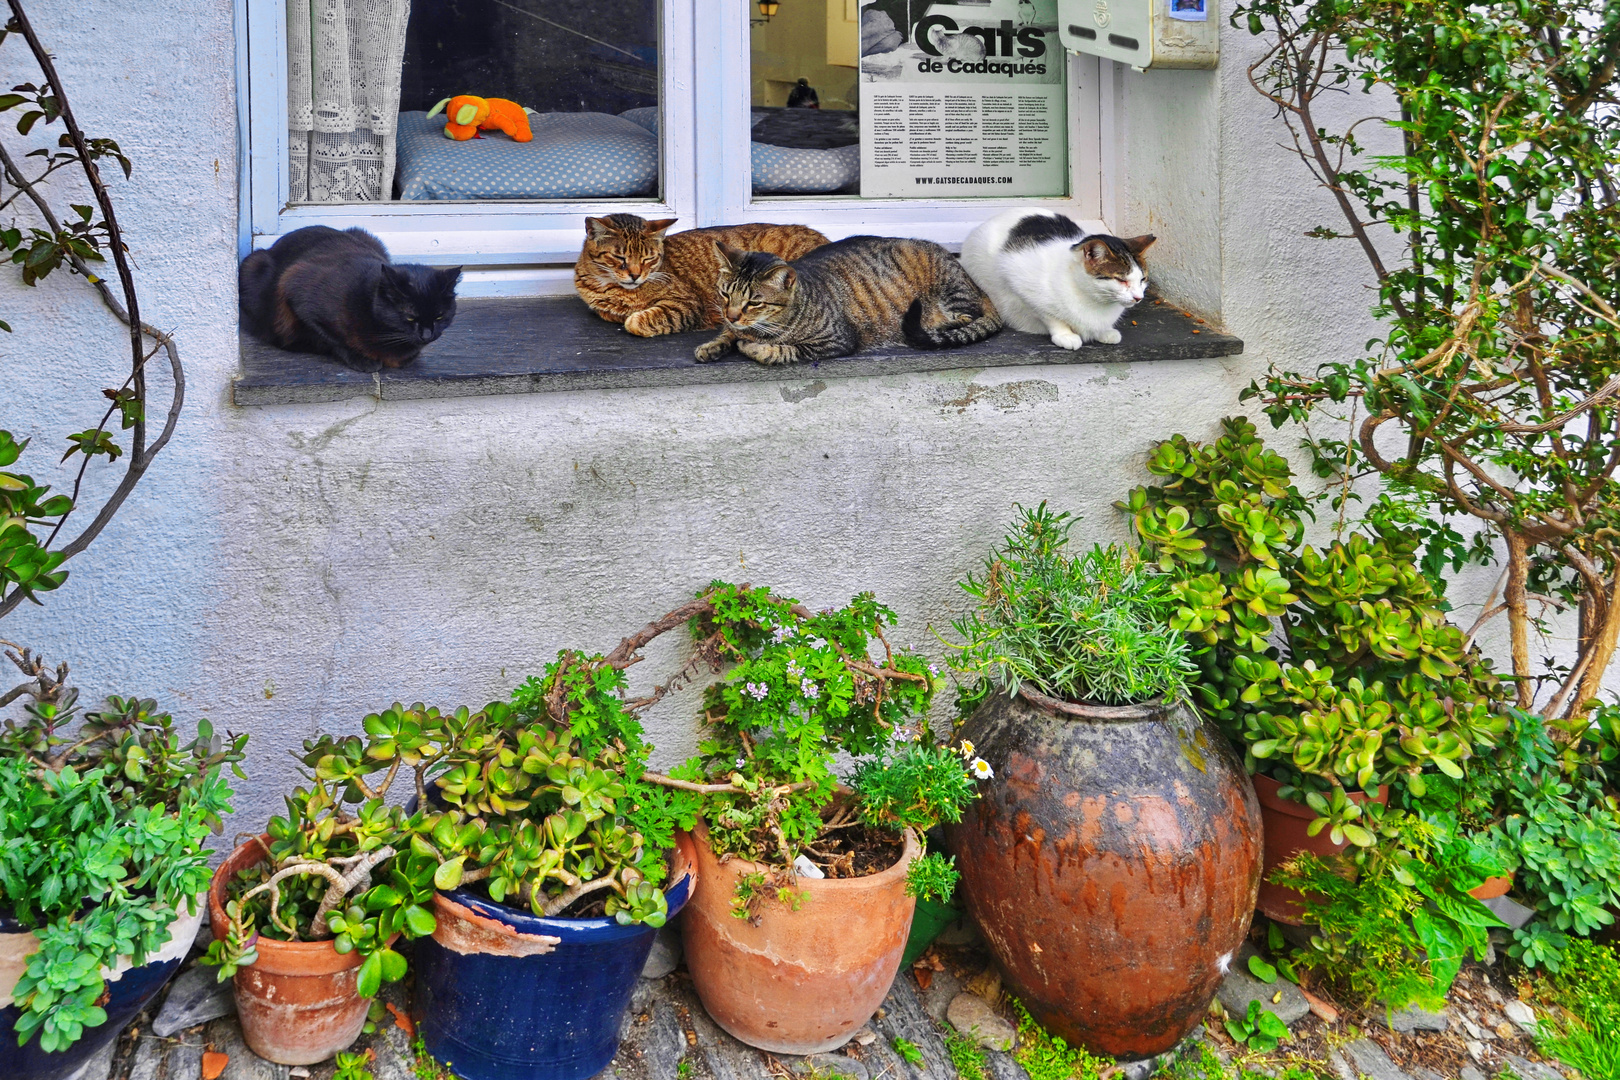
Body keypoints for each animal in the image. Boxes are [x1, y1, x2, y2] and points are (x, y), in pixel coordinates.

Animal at [243, 225, 466, 372]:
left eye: (440, 316)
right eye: (410, 317)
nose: (427, 335)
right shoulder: (295, 287)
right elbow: (333, 338)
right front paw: (361, 359)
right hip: (254, 269)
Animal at [573, 215, 829, 338]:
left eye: (648, 258)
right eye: (620, 258)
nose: (635, 275)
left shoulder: (686, 304)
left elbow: (638, 320)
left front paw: (635, 318)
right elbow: (610, 313)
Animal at [693, 234, 997, 365]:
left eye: (754, 302)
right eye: (725, 294)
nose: (731, 314)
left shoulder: (835, 341)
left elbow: (784, 351)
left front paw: (753, 348)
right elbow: (726, 334)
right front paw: (712, 345)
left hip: (950, 290)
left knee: (968, 316)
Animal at [959, 208, 1153, 348]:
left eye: (1142, 279)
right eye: (1121, 280)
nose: (1138, 297)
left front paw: (1104, 332)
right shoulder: (1018, 281)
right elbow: (1050, 316)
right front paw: (1065, 335)